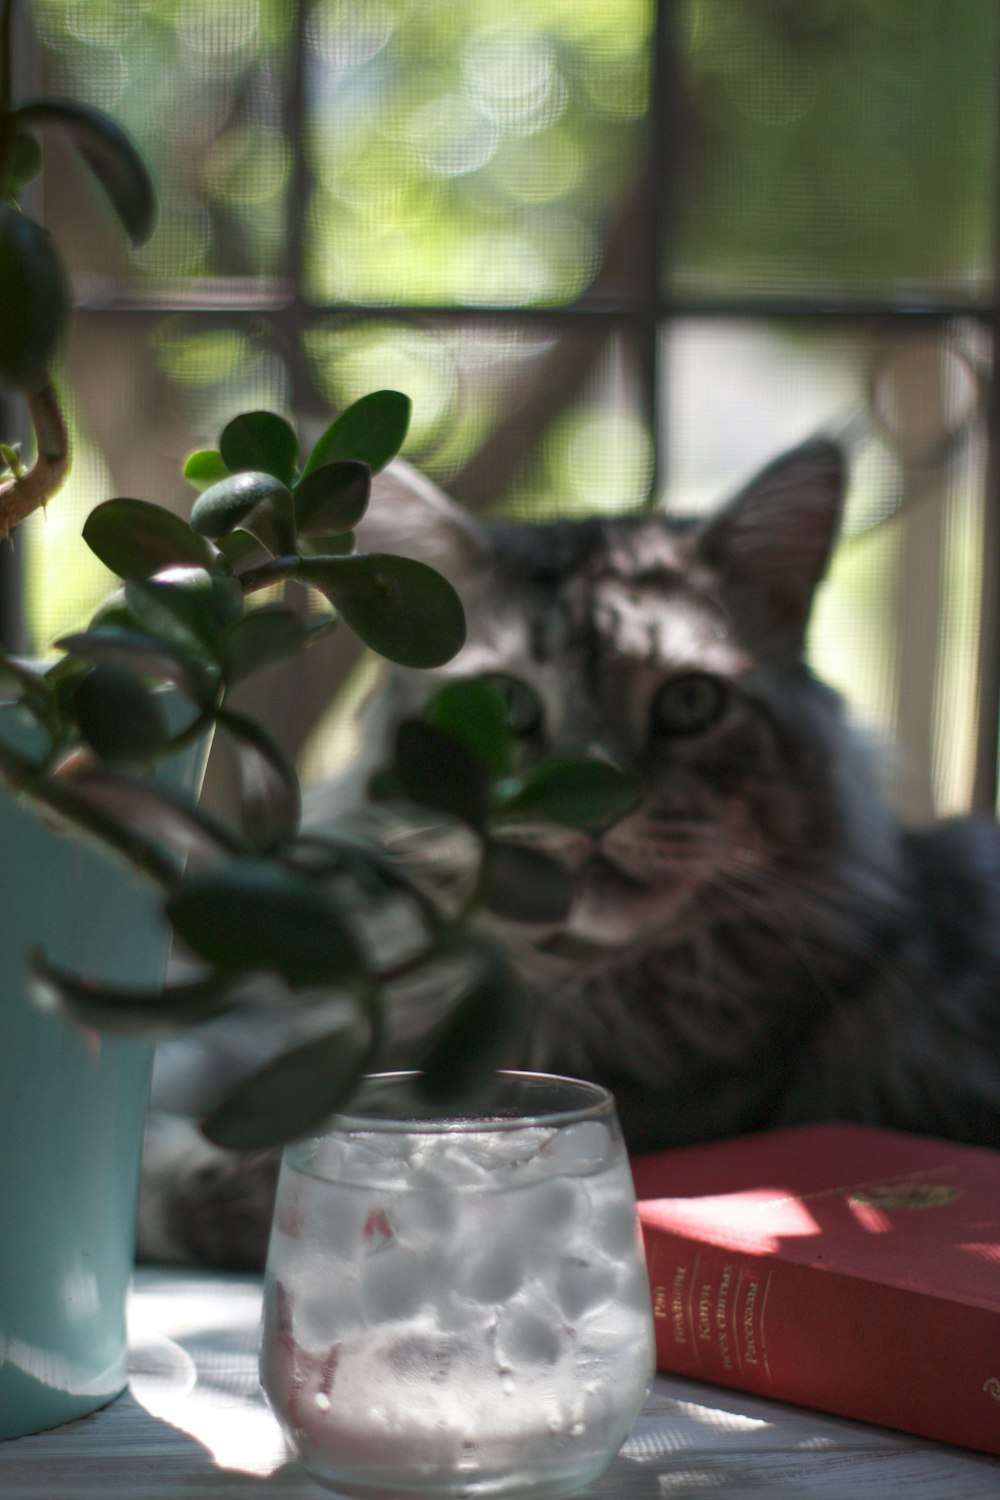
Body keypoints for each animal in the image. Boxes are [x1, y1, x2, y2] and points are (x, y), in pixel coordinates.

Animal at [138, 438, 1000, 1266]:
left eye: (691, 702)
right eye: (506, 704)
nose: (598, 806)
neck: (551, 975)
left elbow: (214, 1172)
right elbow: (200, 1053)